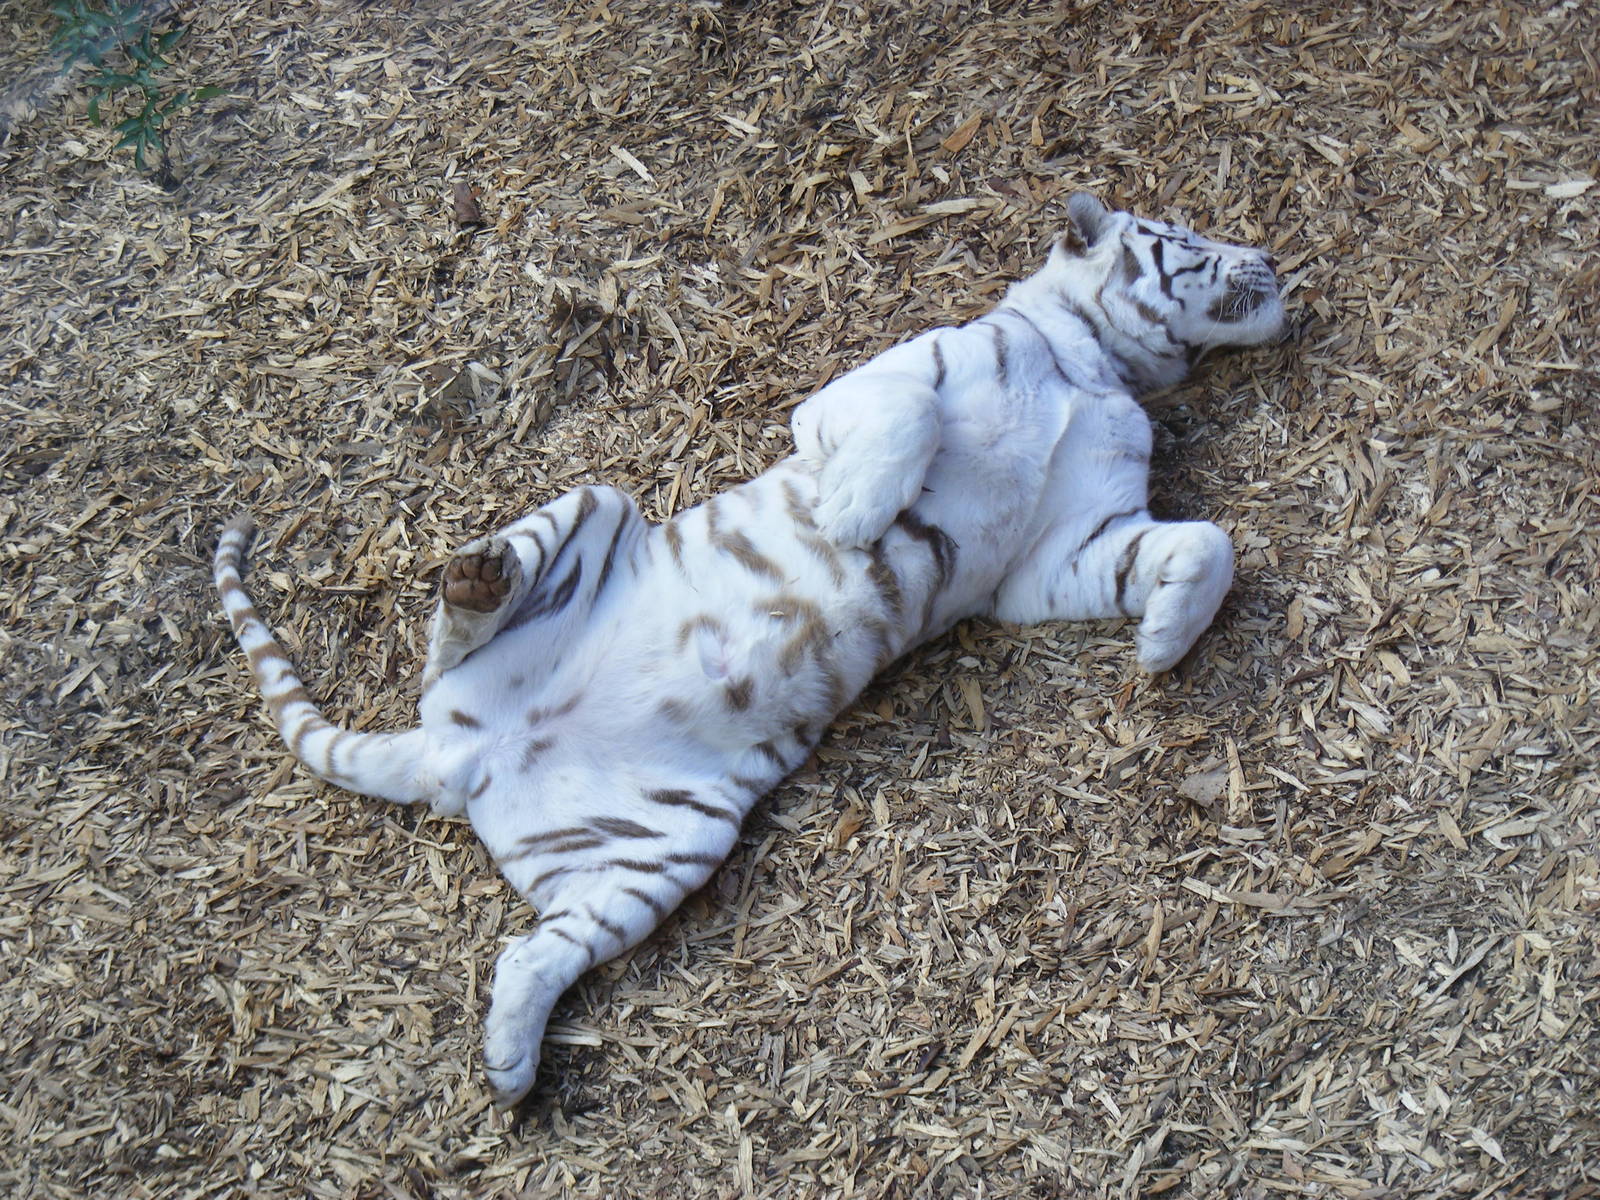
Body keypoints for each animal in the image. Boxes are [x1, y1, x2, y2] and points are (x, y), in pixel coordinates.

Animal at [213, 193, 1286, 1107]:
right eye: (1186, 238)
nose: (1275, 260)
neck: (1092, 366)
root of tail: (455, 754)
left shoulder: (1068, 544)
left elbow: (1206, 542)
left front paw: (1163, 640)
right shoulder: (865, 388)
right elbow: (911, 417)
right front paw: (854, 514)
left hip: (658, 853)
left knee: (527, 955)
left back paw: (509, 1070)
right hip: (597, 509)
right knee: (450, 634)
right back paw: (477, 579)